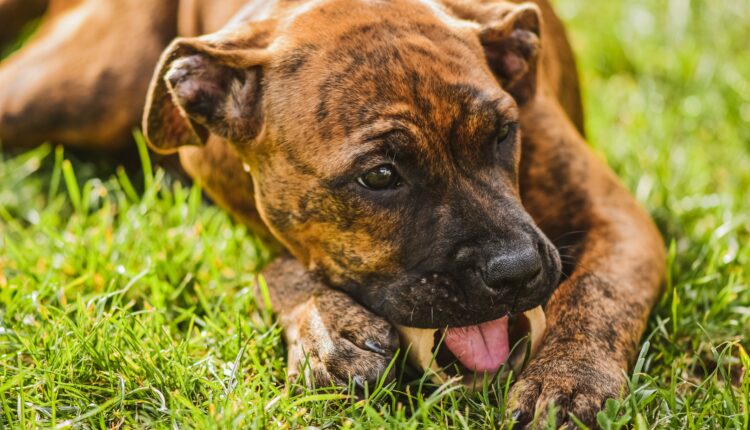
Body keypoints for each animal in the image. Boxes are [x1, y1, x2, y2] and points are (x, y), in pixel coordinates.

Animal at [0, 0, 668, 424]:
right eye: (380, 177)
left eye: (504, 134)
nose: (517, 270)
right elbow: (280, 268)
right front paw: (327, 329)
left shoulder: (616, 219)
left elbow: (597, 293)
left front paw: (568, 379)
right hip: (72, 87)